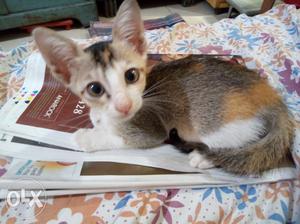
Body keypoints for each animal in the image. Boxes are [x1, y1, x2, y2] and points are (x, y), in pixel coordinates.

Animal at [32, 0, 292, 175]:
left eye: (131, 75)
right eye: (95, 89)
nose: (125, 105)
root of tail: (273, 99)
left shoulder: (151, 129)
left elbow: (118, 138)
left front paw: (87, 138)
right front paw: (95, 122)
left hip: (216, 123)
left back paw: (205, 158)